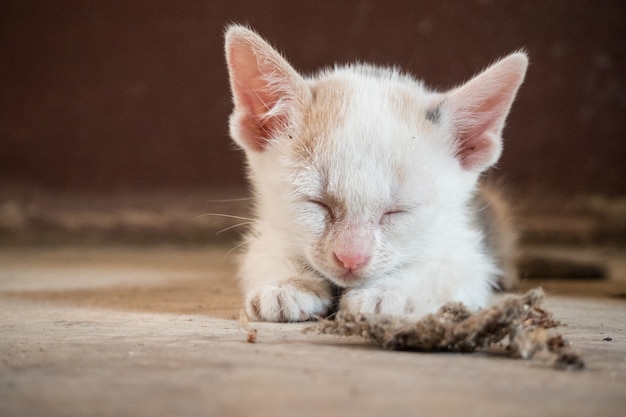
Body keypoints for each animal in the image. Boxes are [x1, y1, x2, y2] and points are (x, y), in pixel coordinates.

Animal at [224, 25, 528, 322]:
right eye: (317, 203)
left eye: (396, 212)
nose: (351, 258)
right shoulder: (269, 228)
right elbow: (266, 250)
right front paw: (287, 285)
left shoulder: (465, 253)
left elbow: (439, 270)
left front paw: (385, 293)